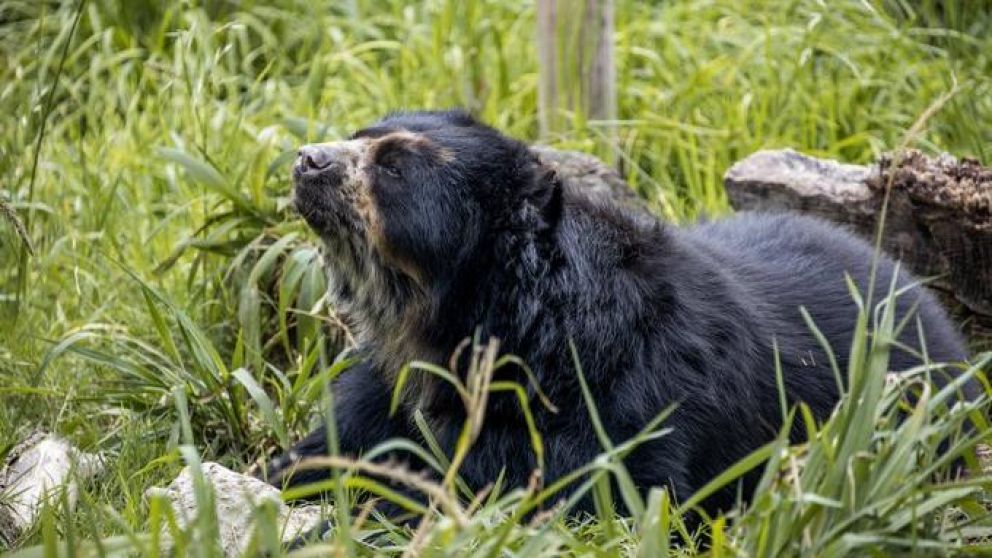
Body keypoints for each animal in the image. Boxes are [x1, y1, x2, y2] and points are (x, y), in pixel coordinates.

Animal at [267, 109, 975, 519]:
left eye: (394, 168)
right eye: (357, 137)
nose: (306, 159)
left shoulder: (614, 401)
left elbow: (571, 488)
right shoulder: (388, 383)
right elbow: (343, 442)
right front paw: (298, 473)